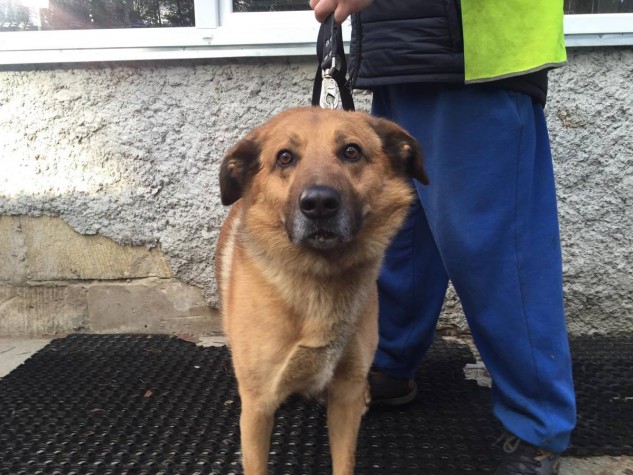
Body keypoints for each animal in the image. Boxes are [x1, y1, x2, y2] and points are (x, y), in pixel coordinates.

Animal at [215, 106, 428, 475]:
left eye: (351, 151)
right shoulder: (257, 408)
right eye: (285, 157)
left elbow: (344, 461)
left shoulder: (346, 394)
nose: (318, 204)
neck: (319, 277)